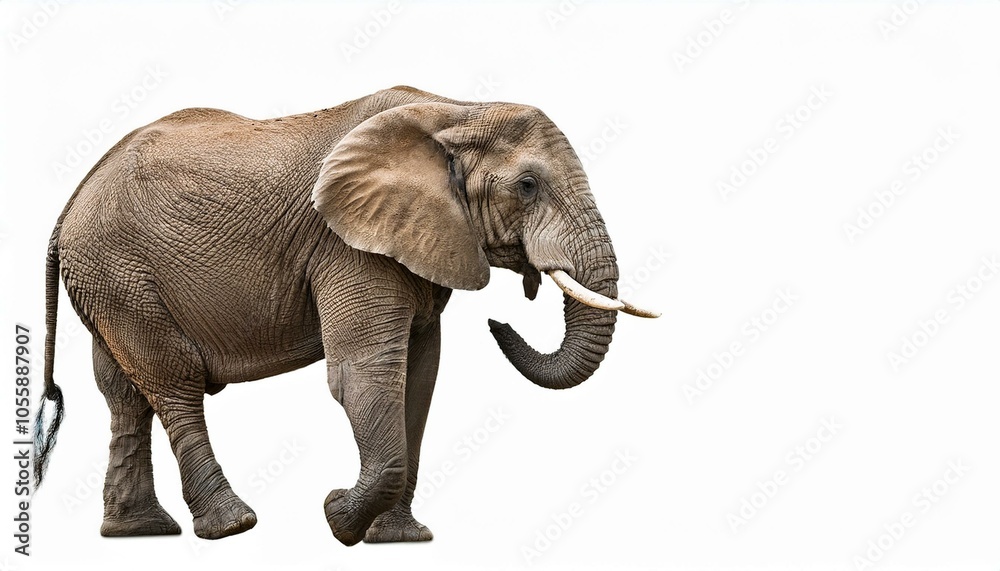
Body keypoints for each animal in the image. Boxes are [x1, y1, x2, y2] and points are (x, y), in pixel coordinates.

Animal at [32, 85, 658, 546]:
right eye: (527, 185)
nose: (500, 323)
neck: (457, 109)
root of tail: (69, 203)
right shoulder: (347, 246)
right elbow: (362, 376)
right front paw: (337, 519)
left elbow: (419, 378)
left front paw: (398, 540)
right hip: (118, 268)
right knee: (173, 381)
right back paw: (233, 526)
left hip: (109, 280)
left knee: (124, 394)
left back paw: (138, 533)